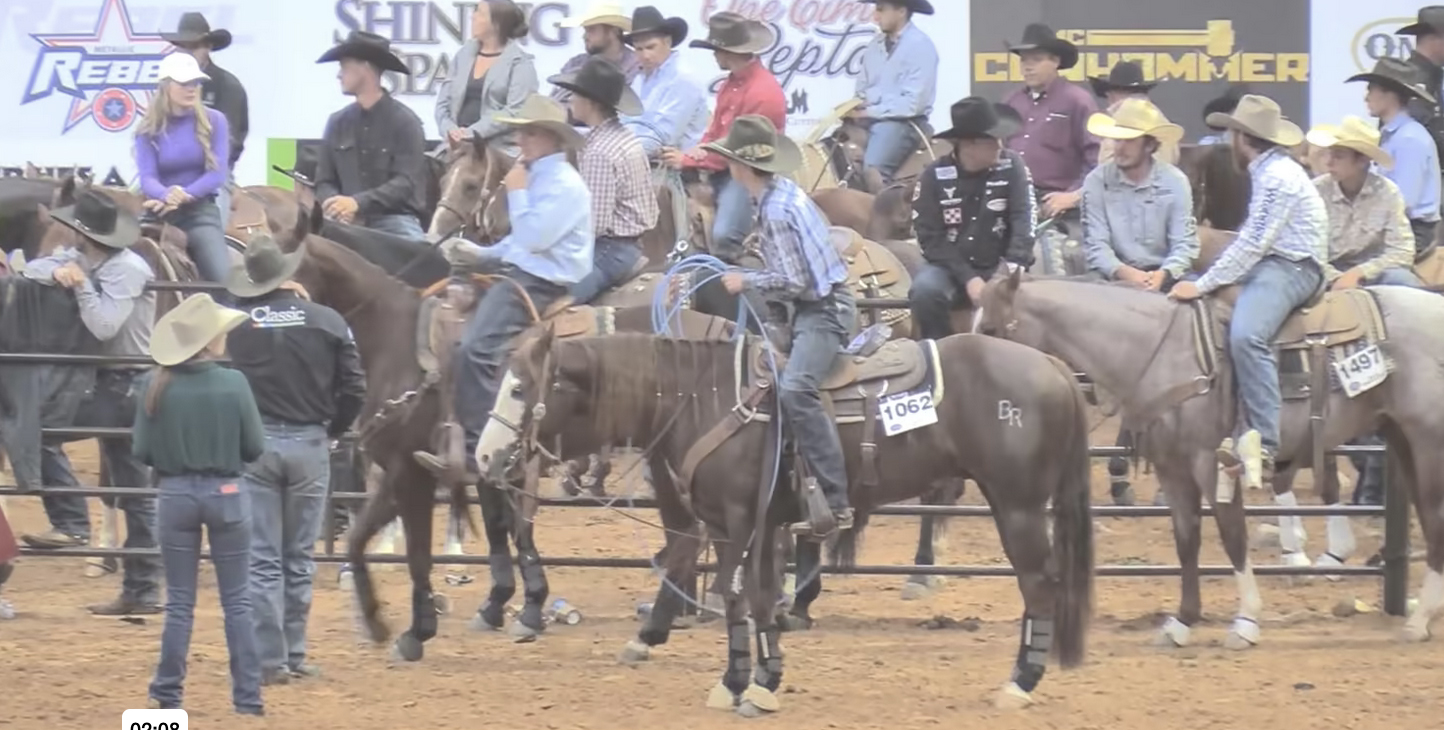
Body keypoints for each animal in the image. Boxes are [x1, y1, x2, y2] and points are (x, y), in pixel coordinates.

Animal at [978, 271, 1444, 645]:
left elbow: (1232, 534)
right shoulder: (1172, 469)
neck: (1163, 352)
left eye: (991, 326)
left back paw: (1418, 620)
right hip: (1401, 436)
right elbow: (1187, 541)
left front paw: (1246, 621)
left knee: (1434, 517)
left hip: (1427, 440)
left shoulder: (1211, 461)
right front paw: (1182, 622)